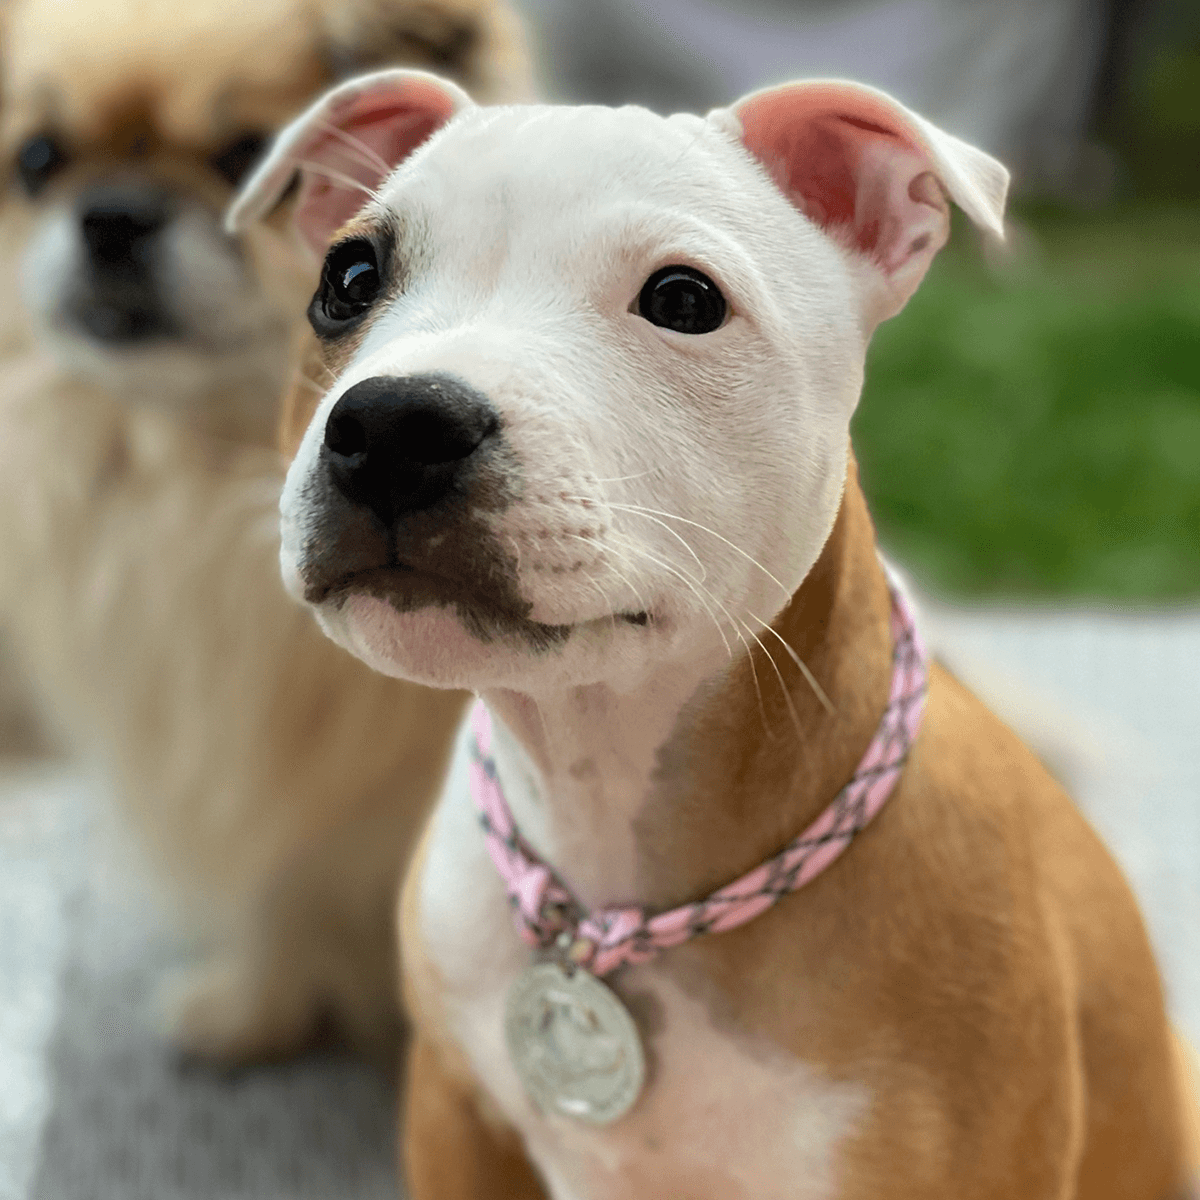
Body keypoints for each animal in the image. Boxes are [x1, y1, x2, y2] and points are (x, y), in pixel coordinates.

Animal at [0, 0, 530, 1060]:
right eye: (37, 159)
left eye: (244, 154)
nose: (112, 215)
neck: (196, 483)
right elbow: (283, 883)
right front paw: (258, 1009)